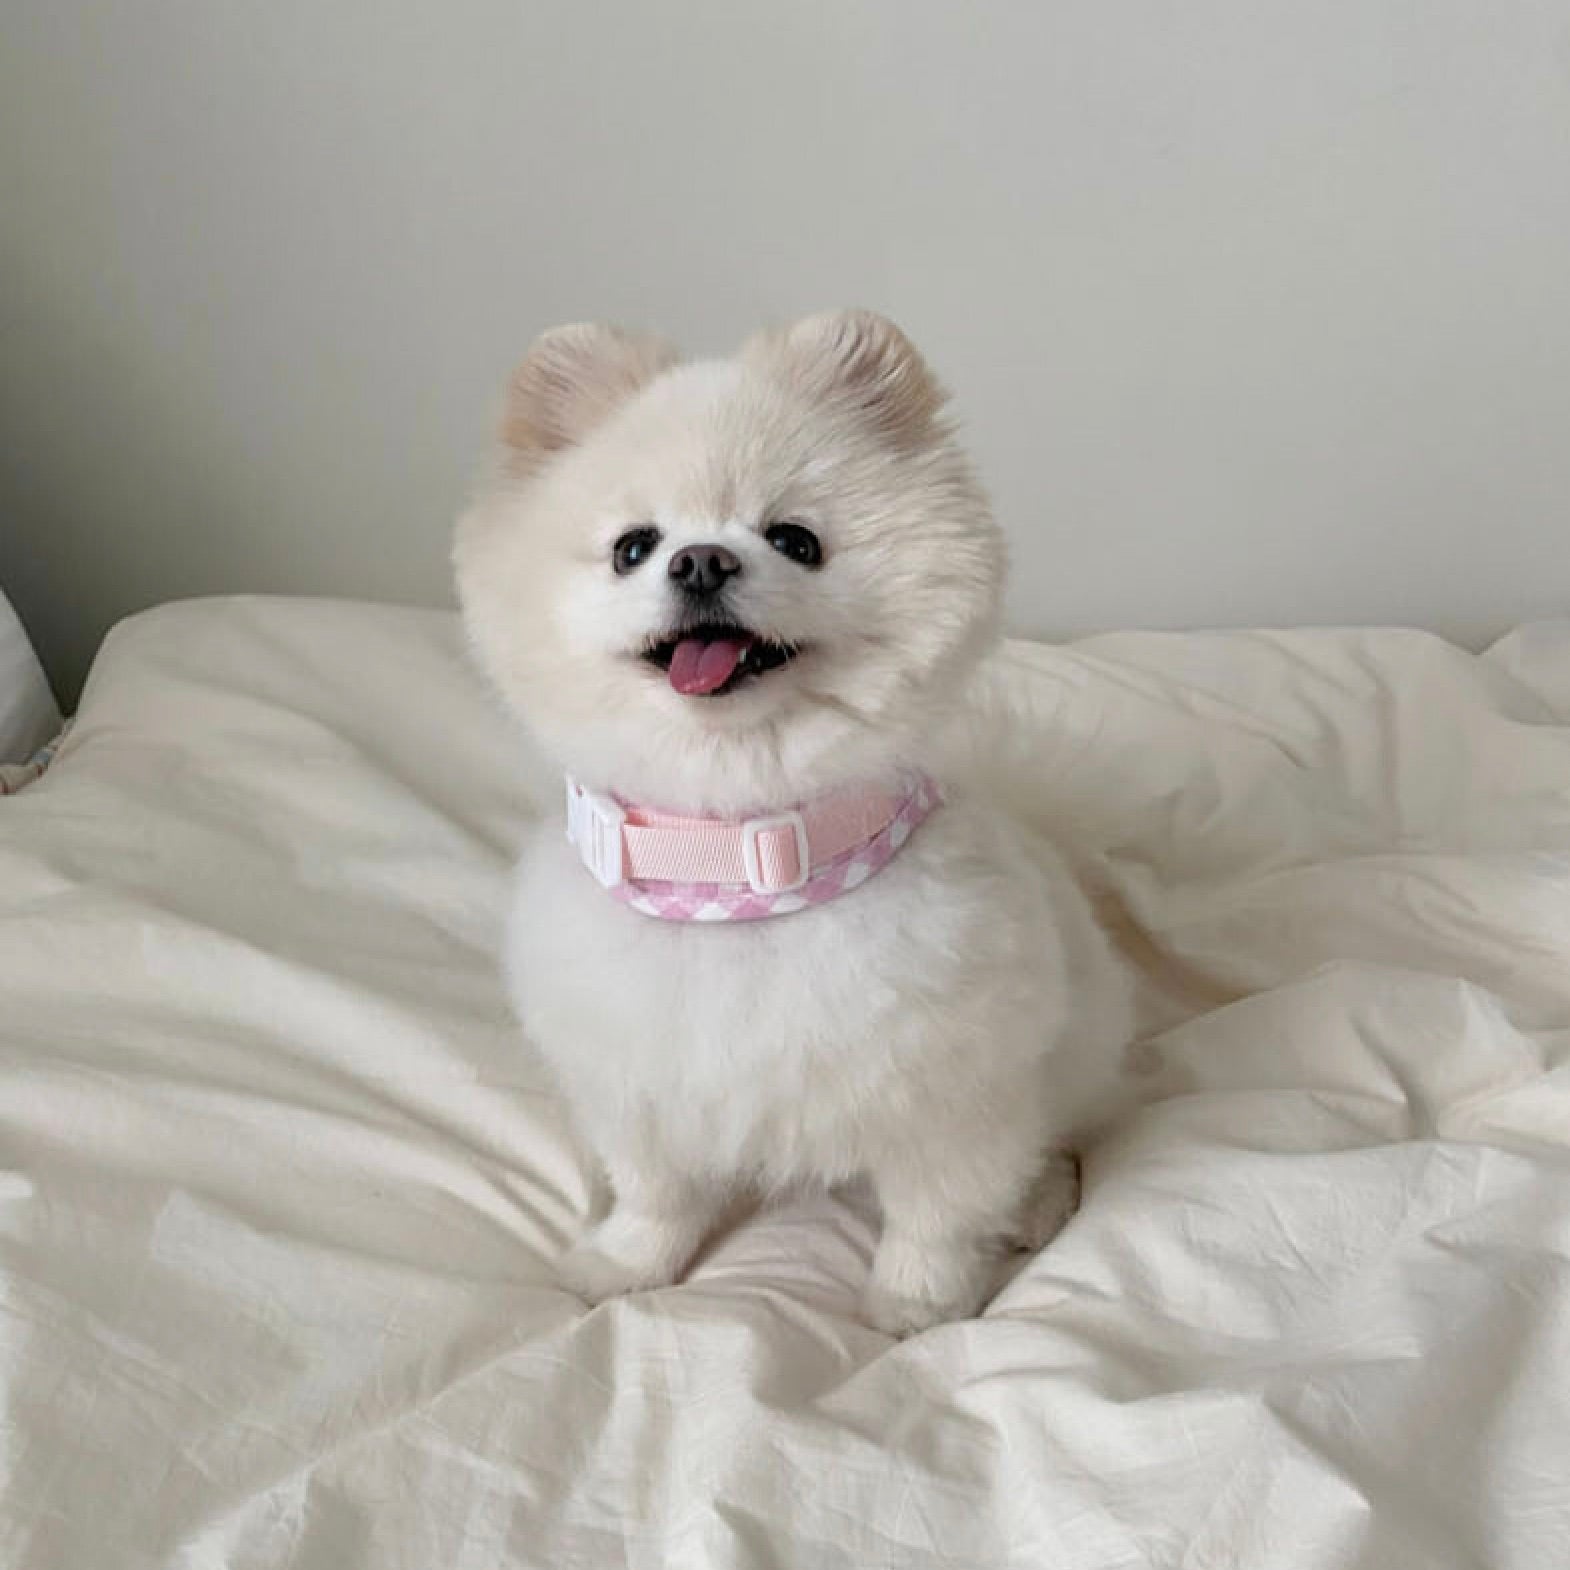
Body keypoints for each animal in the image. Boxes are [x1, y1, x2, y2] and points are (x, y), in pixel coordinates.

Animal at [454, 310, 1133, 1333]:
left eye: (795, 539)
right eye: (633, 547)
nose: (701, 559)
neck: (736, 864)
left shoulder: (954, 1098)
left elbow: (937, 1213)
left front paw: (917, 1305)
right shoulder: (637, 1085)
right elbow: (655, 1193)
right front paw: (627, 1263)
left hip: (1074, 1052)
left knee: (1054, 1138)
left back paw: (1039, 1203)